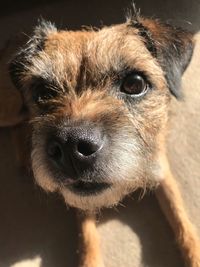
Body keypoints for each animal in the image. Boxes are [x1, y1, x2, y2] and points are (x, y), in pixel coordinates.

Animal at [0, 9, 200, 267]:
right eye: (42, 92)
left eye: (134, 83)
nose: (70, 146)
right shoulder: (81, 202)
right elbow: (88, 239)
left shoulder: (161, 171)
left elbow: (181, 219)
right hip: (8, 109)